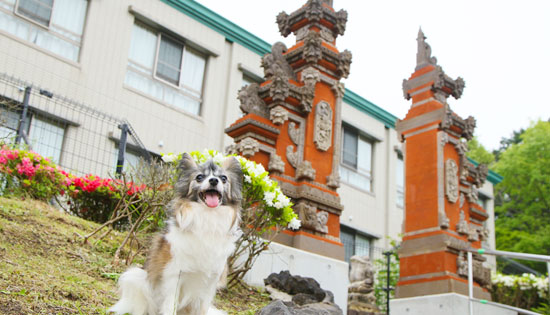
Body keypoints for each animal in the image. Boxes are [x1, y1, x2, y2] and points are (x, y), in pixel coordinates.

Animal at [110, 152, 244, 314]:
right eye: (199, 177)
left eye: (223, 178)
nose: (213, 180)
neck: (207, 217)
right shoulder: (174, 276)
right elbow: (169, 306)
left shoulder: (209, 284)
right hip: (135, 278)